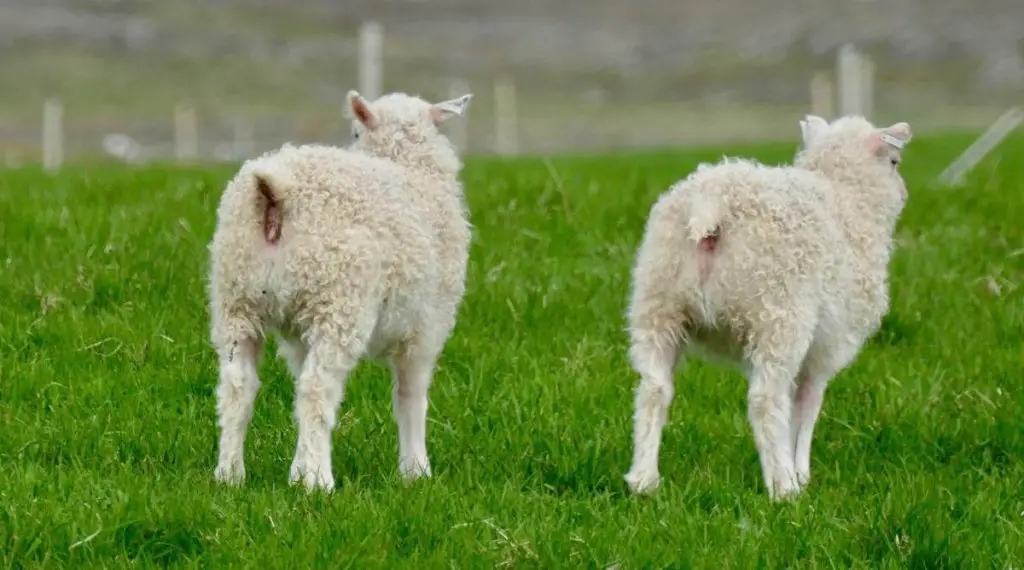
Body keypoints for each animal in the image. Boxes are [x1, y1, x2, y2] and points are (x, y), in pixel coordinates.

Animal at [208, 88, 479, 489]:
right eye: (355, 132)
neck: (410, 166)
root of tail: (274, 192)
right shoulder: (426, 328)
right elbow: (411, 397)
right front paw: (416, 470)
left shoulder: (299, 335)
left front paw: (297, 468)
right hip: (338, 301)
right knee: (317, 387)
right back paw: (320, 481)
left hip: (236, 299)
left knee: (238, 386)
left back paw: (230, 474)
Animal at [622, 114, 913, 497]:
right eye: (894, 162)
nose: (905, 193)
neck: (846, 198)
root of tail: (711, 204)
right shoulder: (827, 347)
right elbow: (807, 405)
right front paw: (800, 472)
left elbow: (792, 408)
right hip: (780, 315)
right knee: (764, 399)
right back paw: (783, 488)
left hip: (658, 306)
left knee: (654, 391)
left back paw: (644, 481)